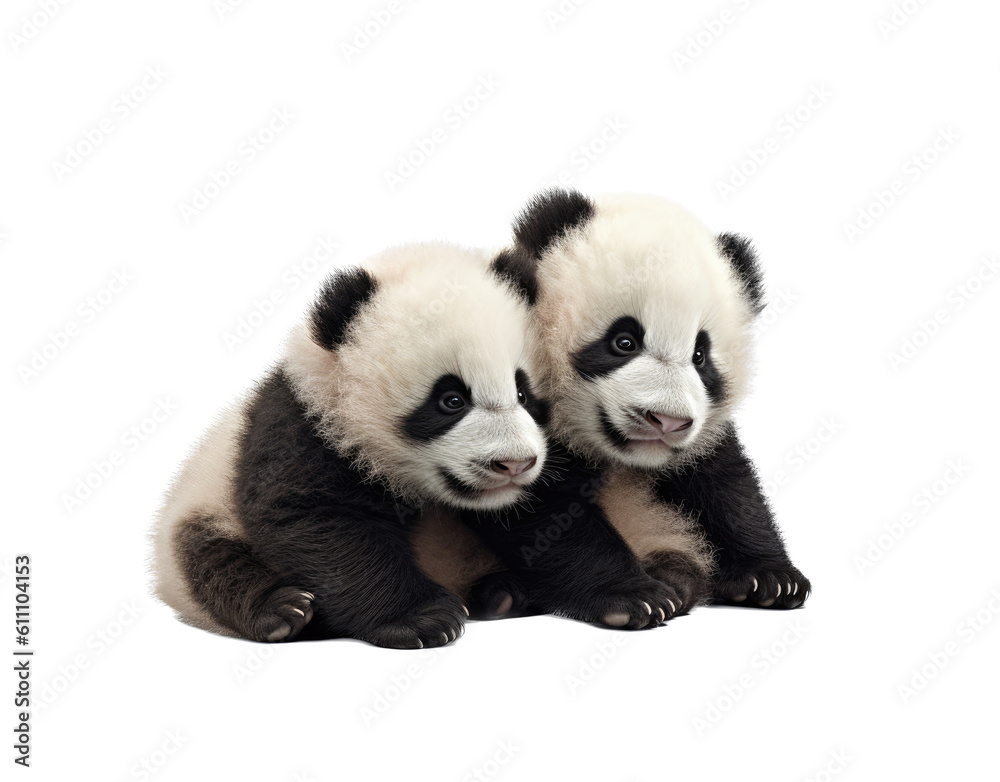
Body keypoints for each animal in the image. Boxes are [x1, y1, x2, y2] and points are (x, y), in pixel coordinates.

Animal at [152, 242, 550, 649]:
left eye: (522, 392)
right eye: (451, 400)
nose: (514, 464)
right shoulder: (304, 428)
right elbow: (320, 523)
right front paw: (424, 620)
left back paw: (502, 594)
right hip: (203, 509)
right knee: (212, 562)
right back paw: (283, 611)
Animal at [479, 189, 810, 616]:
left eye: (700, 356)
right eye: (624, 341)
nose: (667, 421)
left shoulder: (703, 435)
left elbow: (726, 485)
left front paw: (771, 578)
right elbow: (544, 514)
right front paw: (634, 596)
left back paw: (678, 575)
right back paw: (503, 594)